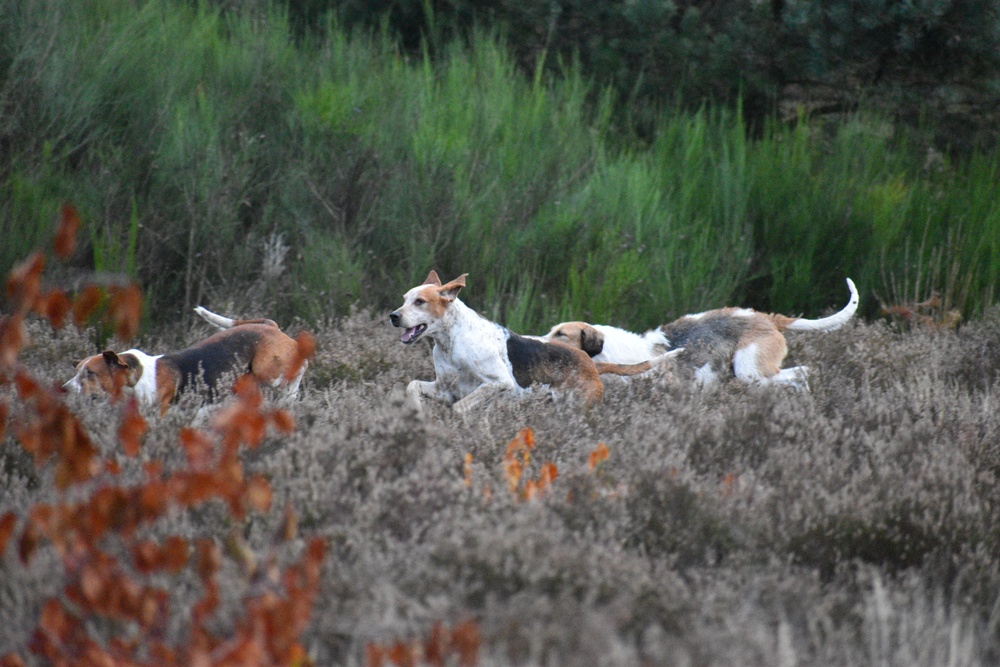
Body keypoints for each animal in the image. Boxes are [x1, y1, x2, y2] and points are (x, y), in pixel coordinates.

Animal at [63, 306, 304, 412]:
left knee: (300, 369)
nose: (64, 389)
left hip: (268, 371)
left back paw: (290, 397)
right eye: (77, 372)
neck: (138, 377)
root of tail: (270, 326)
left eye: (90, 373)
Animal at [390, 272, 672, 412]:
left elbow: (460, 408)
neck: (451, 342)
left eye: (420, 302)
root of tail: (591, 364)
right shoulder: (445, 389)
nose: (393, 316)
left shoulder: (497, 383)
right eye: (404, 299)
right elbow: (413, 386)